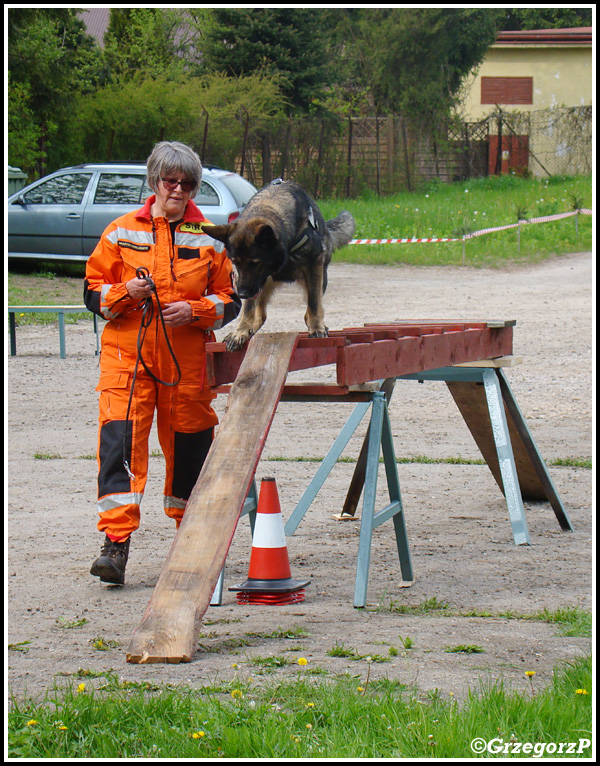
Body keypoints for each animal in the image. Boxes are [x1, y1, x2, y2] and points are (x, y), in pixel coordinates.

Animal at [203, 180, 352, 352]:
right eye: (234, 261)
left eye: (255, 262)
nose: (242, 294)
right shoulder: (248, 283)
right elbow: (248, 309)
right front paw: (240, 332)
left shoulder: (313, 265)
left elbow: (314, 304)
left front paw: (317, 328)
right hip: (264, 284)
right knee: (260, 314)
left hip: (318, 279)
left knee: (310, 307)